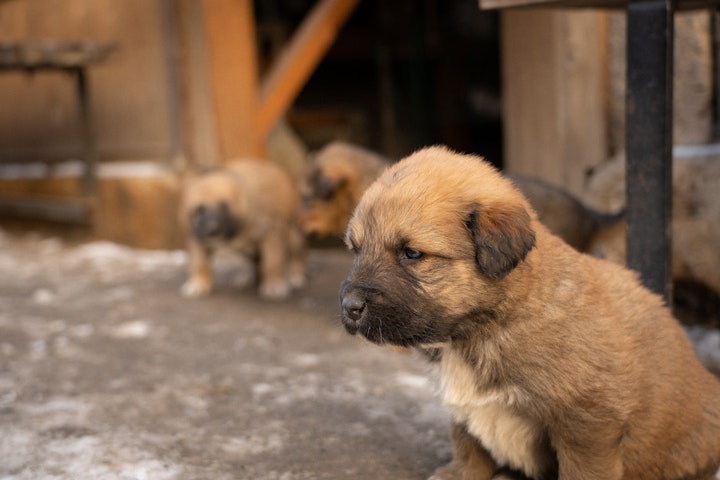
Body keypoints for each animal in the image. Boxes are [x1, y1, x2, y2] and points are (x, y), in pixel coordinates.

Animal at [180, 160, 306, 300]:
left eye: (224, 206)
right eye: (199, 210)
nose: (213, 230)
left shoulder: (271, 232)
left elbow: (272, 262)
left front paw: (274, 284)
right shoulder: (196, 237)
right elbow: (200, 263)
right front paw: (198, 283)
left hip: (293, 235)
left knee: (298, 255)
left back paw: (295, 275)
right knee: (254, 262)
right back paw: (249, 277)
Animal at [338, 146, 720, 480]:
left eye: (412, 253)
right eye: (356, 249)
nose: (349, 307)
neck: (488, 327)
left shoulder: (589, 422)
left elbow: (583, 471)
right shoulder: (464, 411)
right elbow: (467, 447)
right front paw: (459, 473)